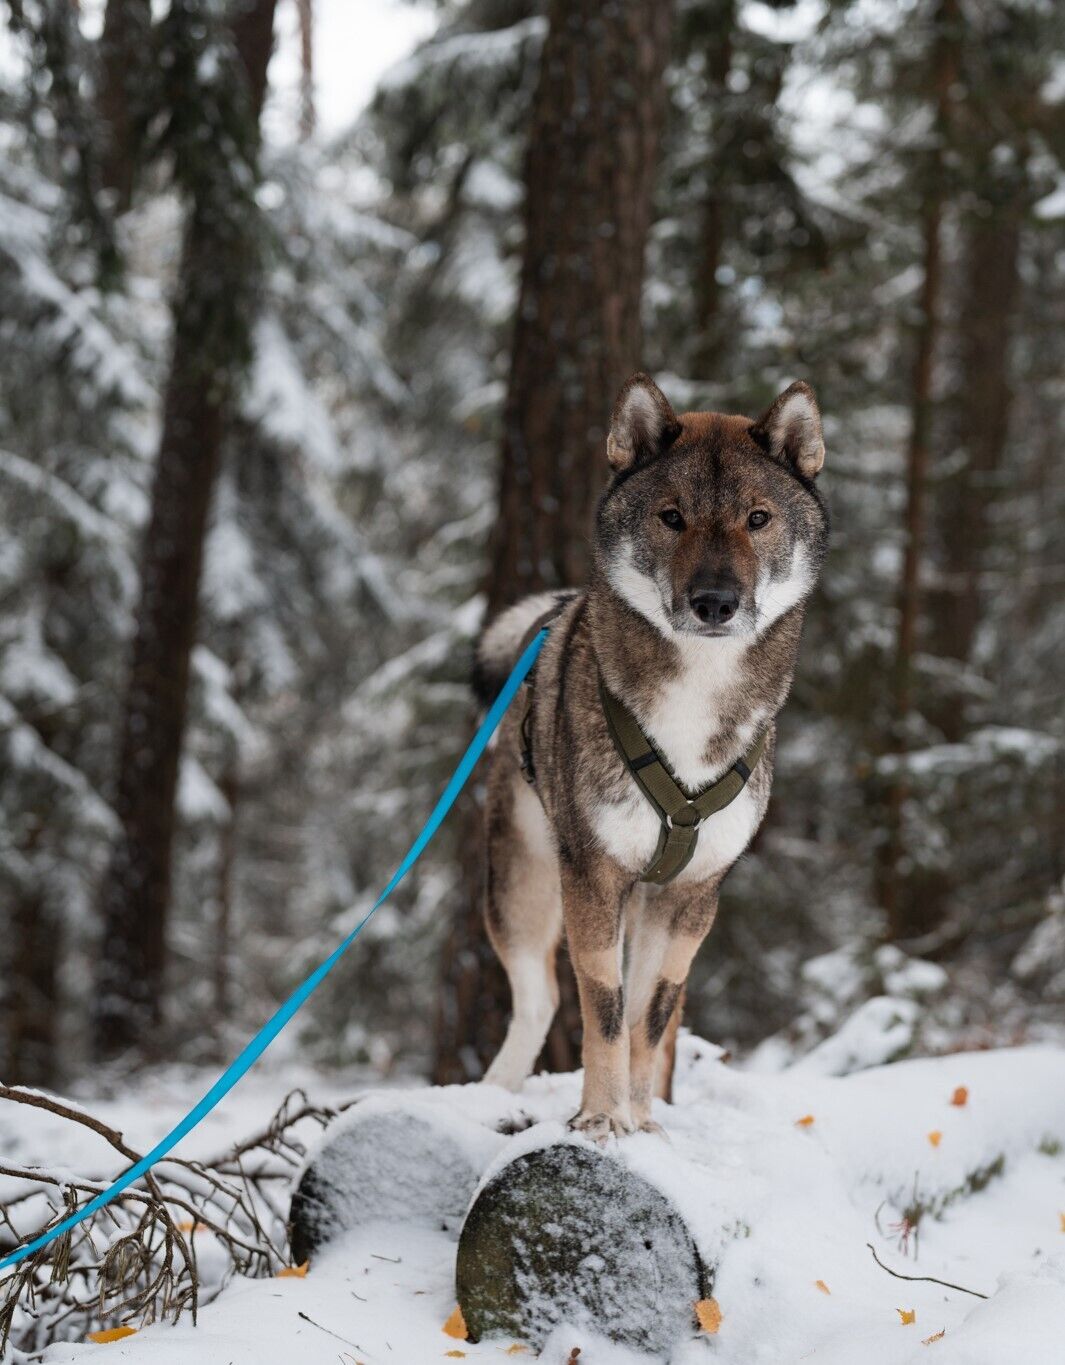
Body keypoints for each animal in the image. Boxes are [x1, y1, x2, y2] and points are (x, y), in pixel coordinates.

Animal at [475, 374, 830, 1141]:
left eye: (757, 518)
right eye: (671, 517)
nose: (714, 602)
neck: (695, 698)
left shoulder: (692, 896)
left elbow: (648, 1017)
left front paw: (642, 1122)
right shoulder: (593, 876)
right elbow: (604, 1012)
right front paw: (600, 1120)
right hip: (520, 886)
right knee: (539, 999)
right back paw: (490, 1093)